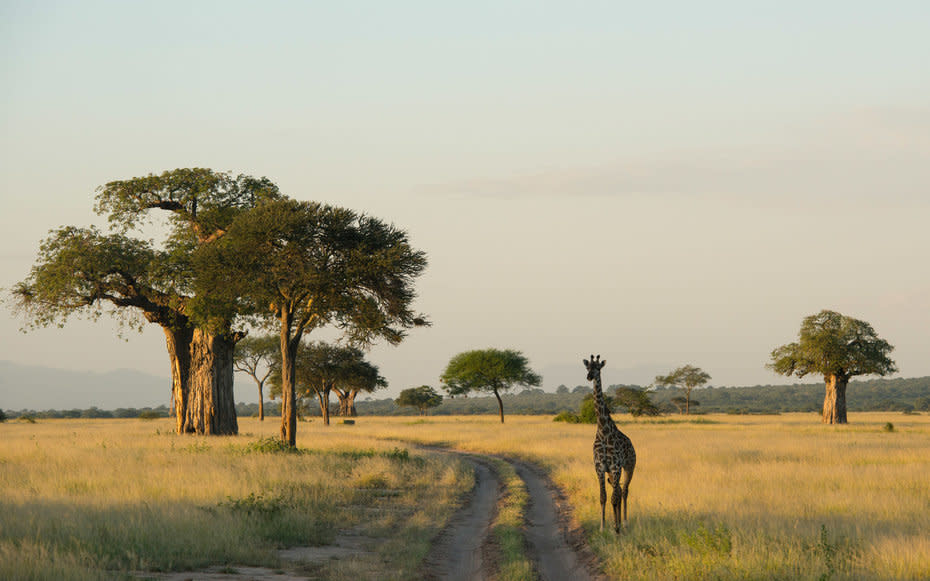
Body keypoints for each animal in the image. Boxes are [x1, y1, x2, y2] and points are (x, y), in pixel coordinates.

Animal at [584, 352, 636, 532]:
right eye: (587, 367)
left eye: (598, 368)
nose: (589, 377)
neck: (603, 430)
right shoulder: (600, 467)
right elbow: (603, 497)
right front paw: (602, 526)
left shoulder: (615, 466)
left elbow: (614, 497)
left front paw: (616, 528)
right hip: (613, 472)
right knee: (618, 490)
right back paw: (618, 522)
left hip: (629, 466)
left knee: (625, 491)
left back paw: (625, 523)